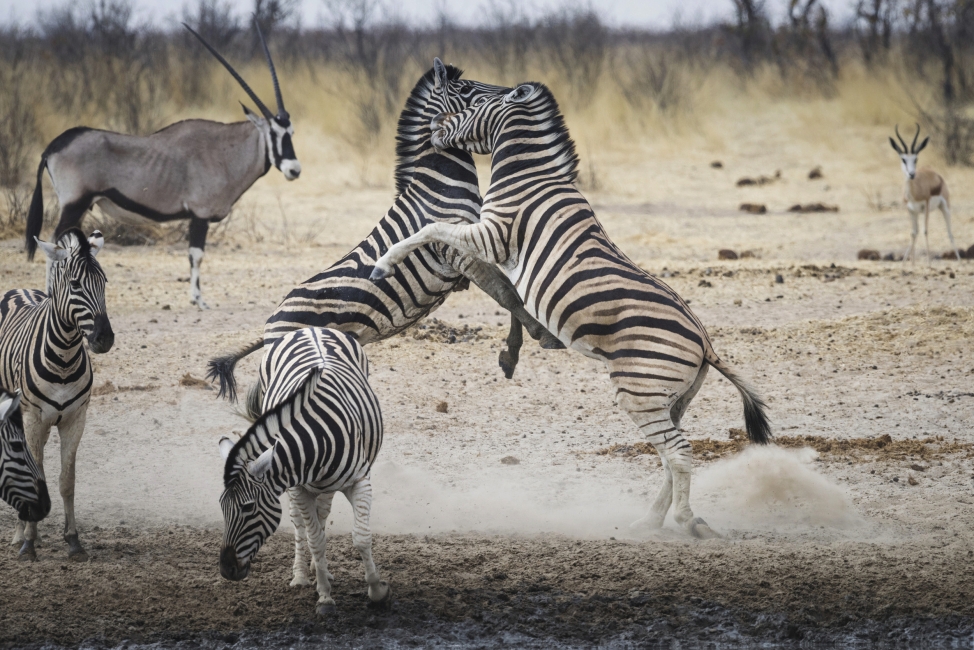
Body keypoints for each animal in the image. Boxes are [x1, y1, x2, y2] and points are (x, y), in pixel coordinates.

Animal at [24, 21, 297, 309]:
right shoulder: (199, 215)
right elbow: (196, 254)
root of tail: (54, 145)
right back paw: (50, 295)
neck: (225, 150)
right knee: (55, 244)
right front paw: (198, 300)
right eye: (274, 133)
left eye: (291, 132)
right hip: (74, 204)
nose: (294, 169)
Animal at [207, 59, 562, 402]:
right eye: (464, 89)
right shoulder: (457, 250)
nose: (515, 91)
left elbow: (509, 289)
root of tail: (268, 327)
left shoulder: (480, 241)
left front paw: (519, 348)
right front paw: (546, 336)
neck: (439, 185)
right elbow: (506, 293)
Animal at [218, 327, 390, 615]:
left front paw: (376, 592)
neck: (315, 438)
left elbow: (361, 537)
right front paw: (324, 597)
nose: (226, 570)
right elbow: (314, 539)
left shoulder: (359, 482)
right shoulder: (298, 488)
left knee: (322, 514)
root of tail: (311, 328)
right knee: (301, 525)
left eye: (248, 507)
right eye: (222, 507)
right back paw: (301, 574)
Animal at [371, 81, 772, 538]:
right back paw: (649, 521)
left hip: (639, 391)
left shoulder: (493, 234)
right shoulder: (493, 242)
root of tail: (706, 343)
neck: (527, 176)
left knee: (680, 453)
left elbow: (432, 228)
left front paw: (384, 262)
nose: (436, 124)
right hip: (671, 397)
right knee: (670, 457)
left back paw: (689, 522)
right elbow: (495, 283)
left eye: (472, 102)